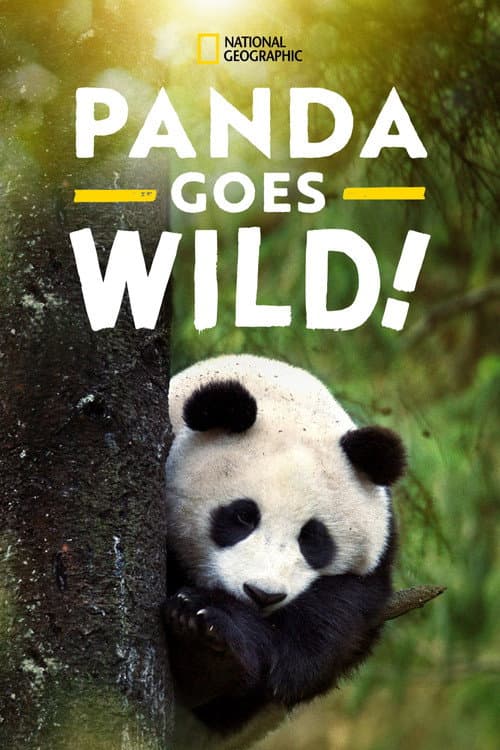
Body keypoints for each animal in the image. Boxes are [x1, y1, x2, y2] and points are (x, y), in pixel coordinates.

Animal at [164, 354, 405, 749]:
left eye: (313, 538)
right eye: (243, 516)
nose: (262, 594)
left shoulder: (375, 563)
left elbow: (325, 629)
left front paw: (210, 644)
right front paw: (199, 634)